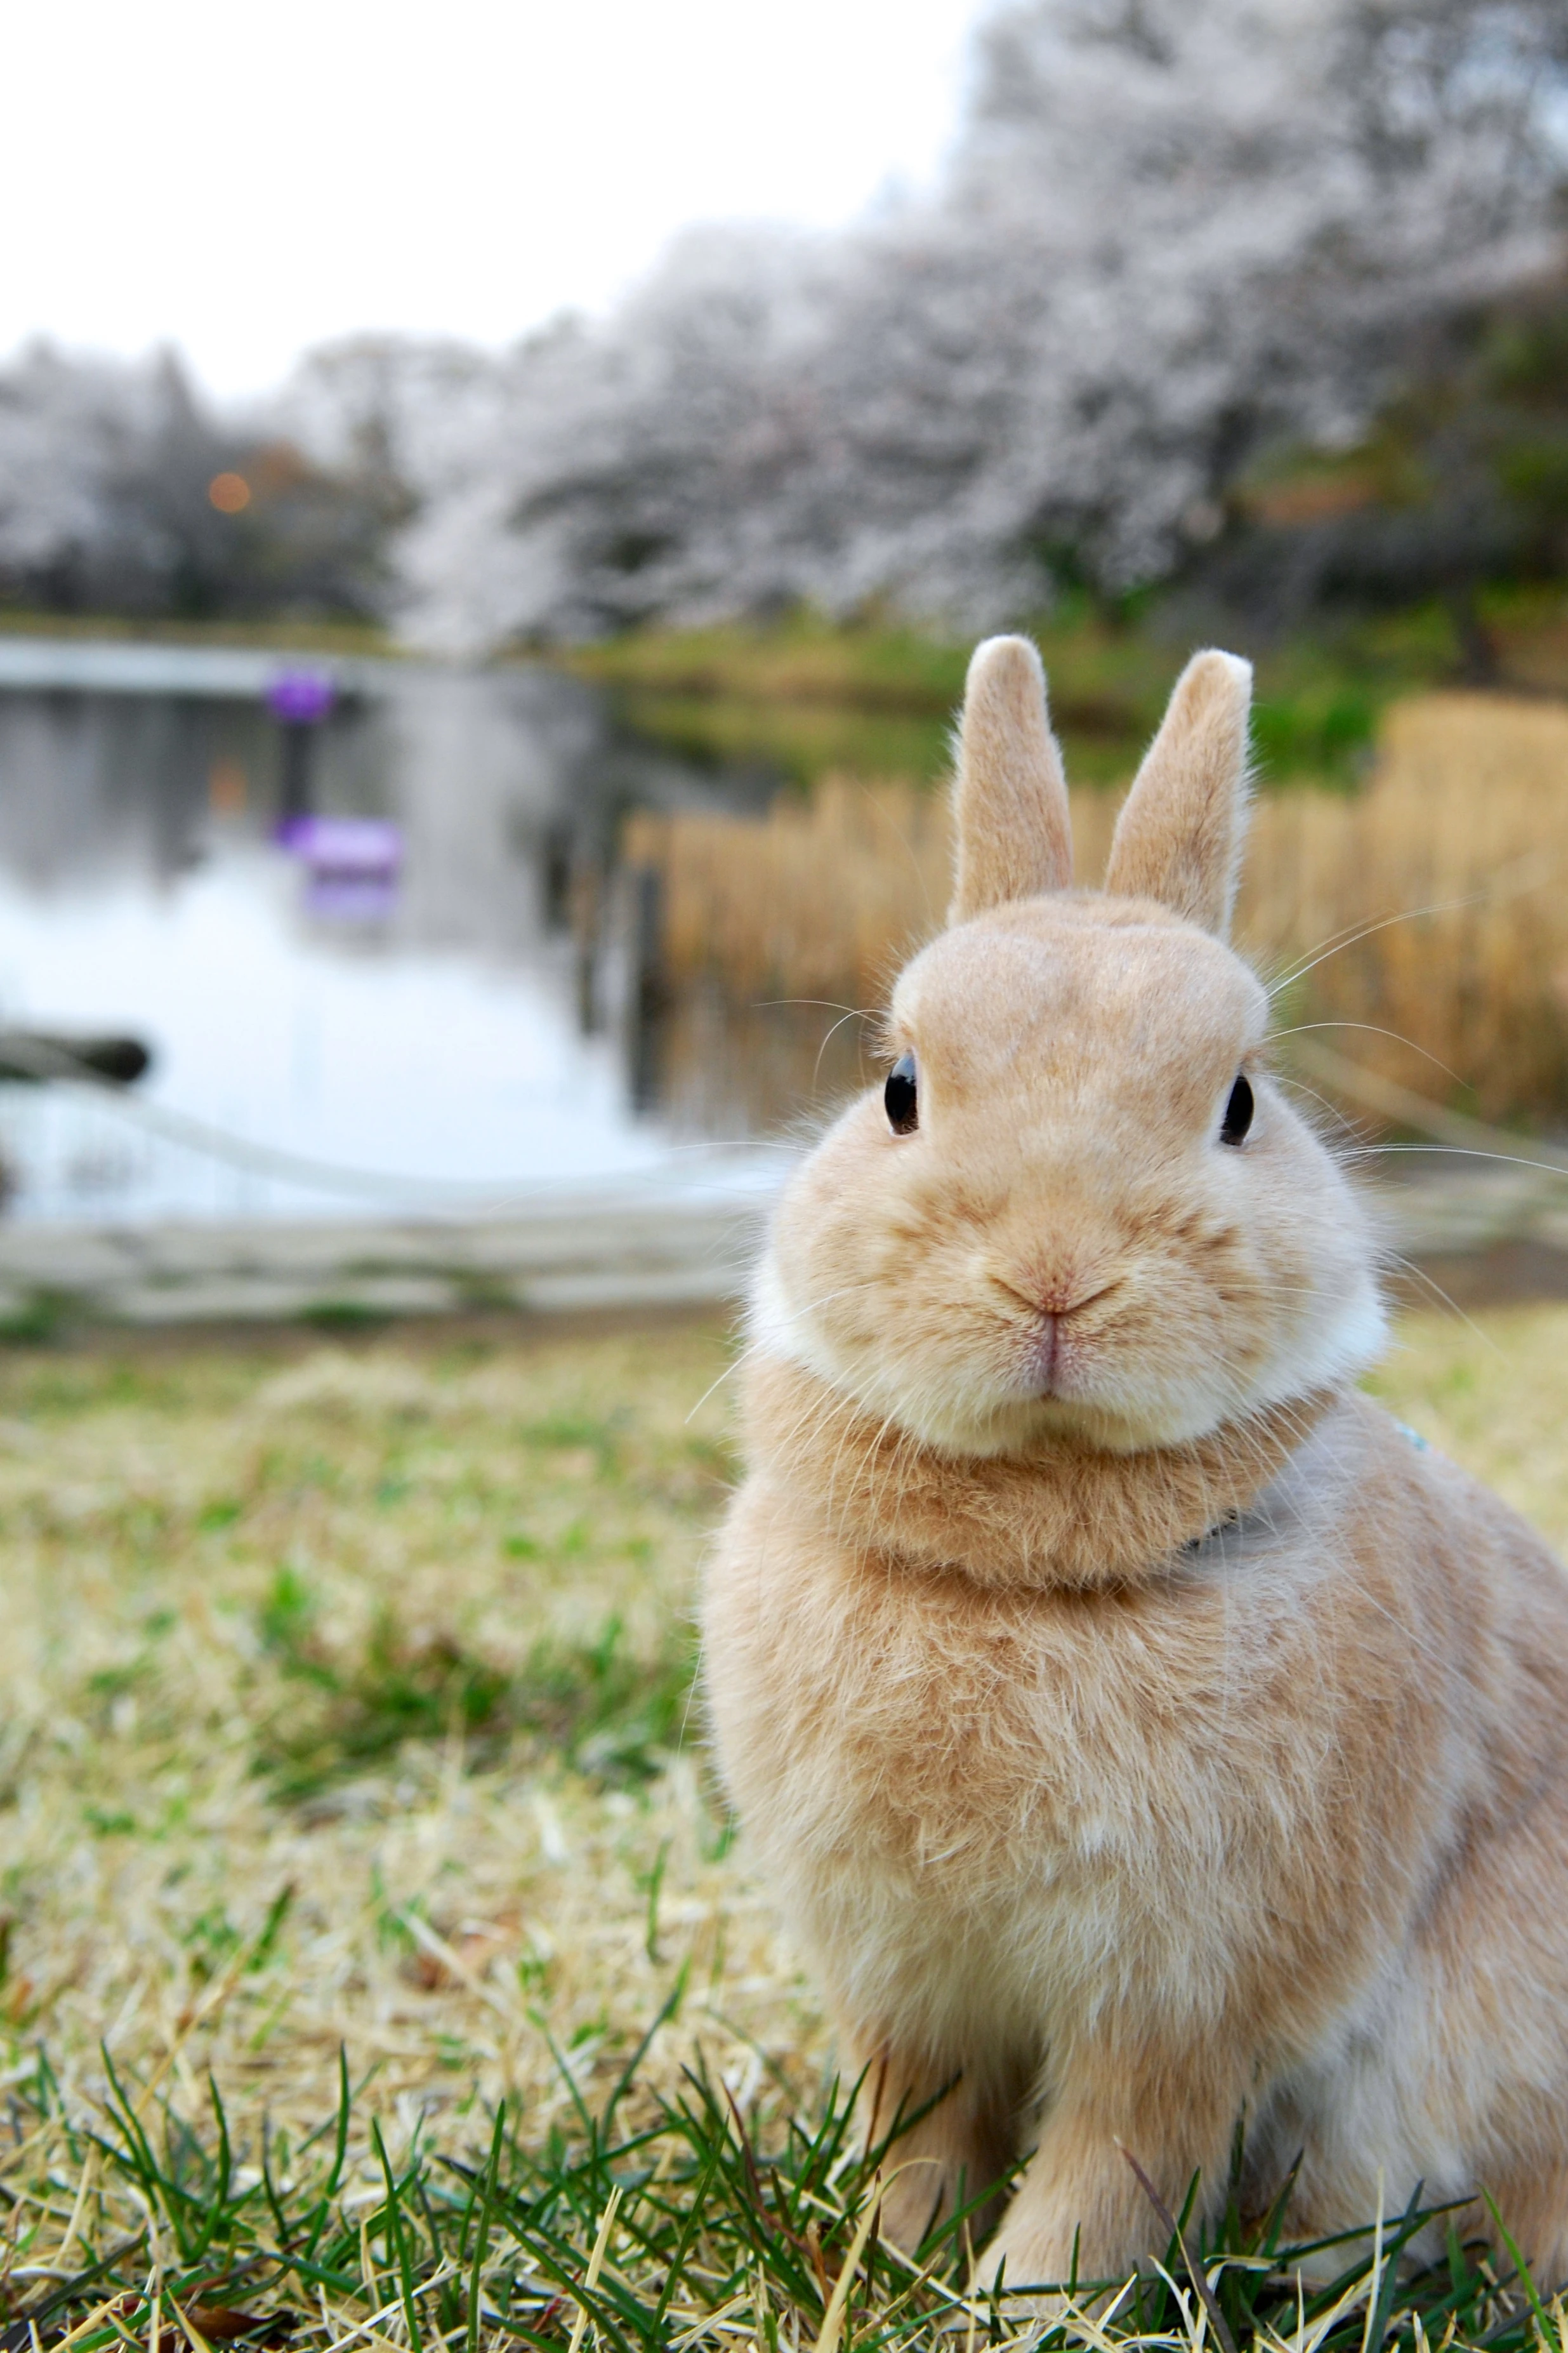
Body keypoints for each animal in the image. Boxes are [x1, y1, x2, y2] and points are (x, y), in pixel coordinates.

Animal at [700, 635, 1568, 2304]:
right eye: (899, 1087)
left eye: (1238, 1102)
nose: (1055, 1276)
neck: (1031, 1567)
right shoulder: (909, 1983)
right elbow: (921, 2128)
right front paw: (886, 2267)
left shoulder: (1187, 2004)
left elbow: (1111, 2165)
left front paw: (1015, 2305)